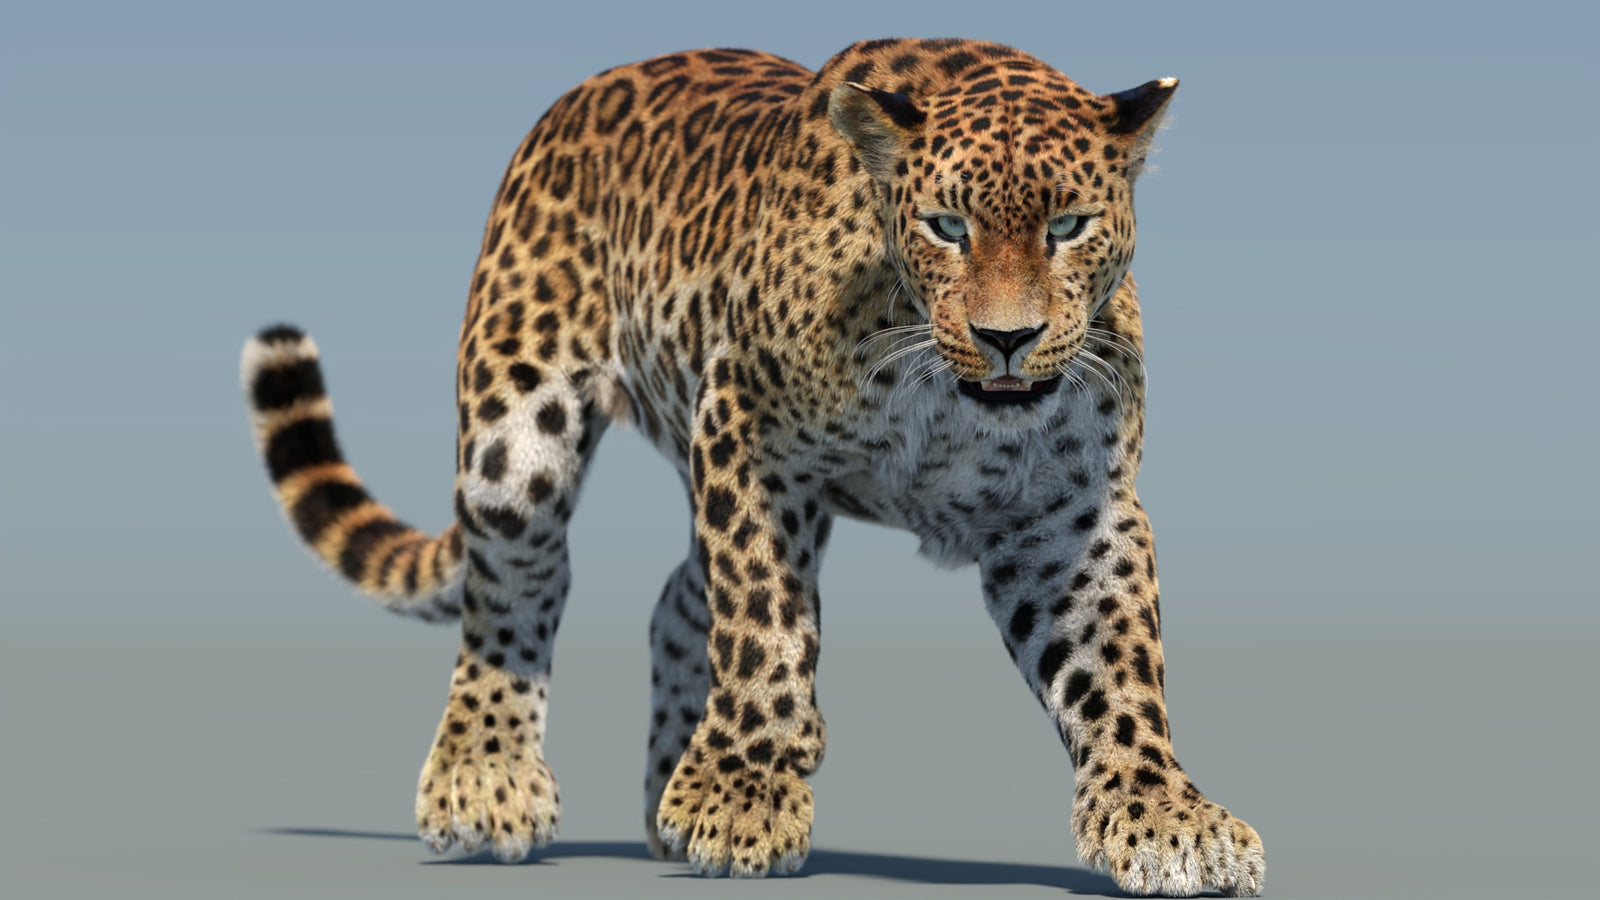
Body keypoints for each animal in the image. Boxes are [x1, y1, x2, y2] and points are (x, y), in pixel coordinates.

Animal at [240, 37, 1264, 896]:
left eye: (1068, 225)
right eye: (945, 226)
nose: (1005, 338)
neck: (937, 391)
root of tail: (584, 91)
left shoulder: (1070, 510)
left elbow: (1116, 661)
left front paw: (1163, 814)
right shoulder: (749, 435)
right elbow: (762, 624)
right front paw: (740, 798)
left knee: (676, 600)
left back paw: (662, 795)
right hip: (518, 434)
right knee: (519, 587)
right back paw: (485, 778)